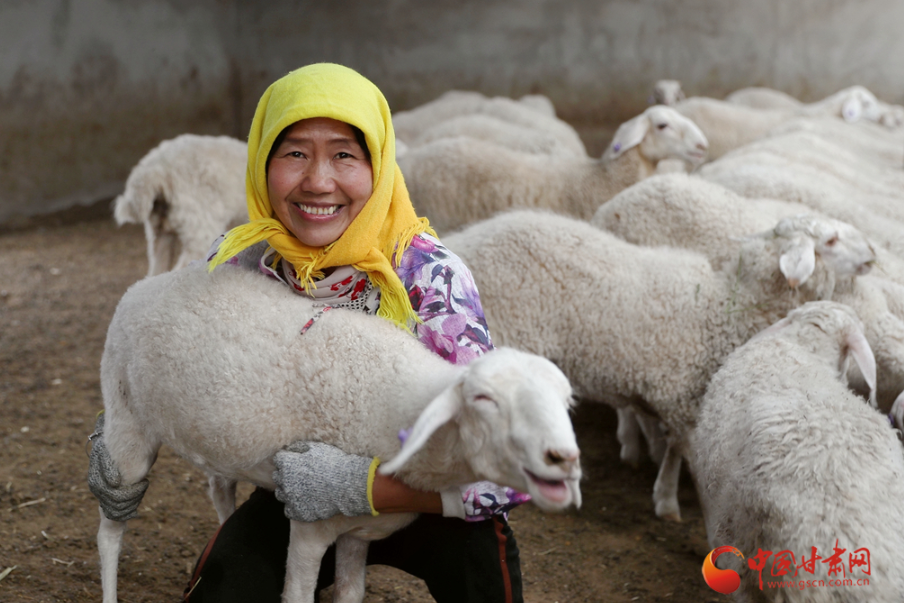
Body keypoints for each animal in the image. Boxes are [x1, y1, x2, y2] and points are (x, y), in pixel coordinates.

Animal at [97, 264, 580, 603]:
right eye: (484, 399)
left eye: (566, 400)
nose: (563, 458)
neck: (393, 404)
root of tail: (148, 283)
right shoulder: (310, 527)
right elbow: (297, 596)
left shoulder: (356, 531)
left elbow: (351, 593)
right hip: (126, 419)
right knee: (111, 528)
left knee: (218, 484)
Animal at [444, 210, 876, 520]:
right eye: (831, 241)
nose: (873, 255)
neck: (727, 308)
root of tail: (463, 242)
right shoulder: (684, 395)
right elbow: (682, 453)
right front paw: (670, 501)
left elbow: (666, 441)